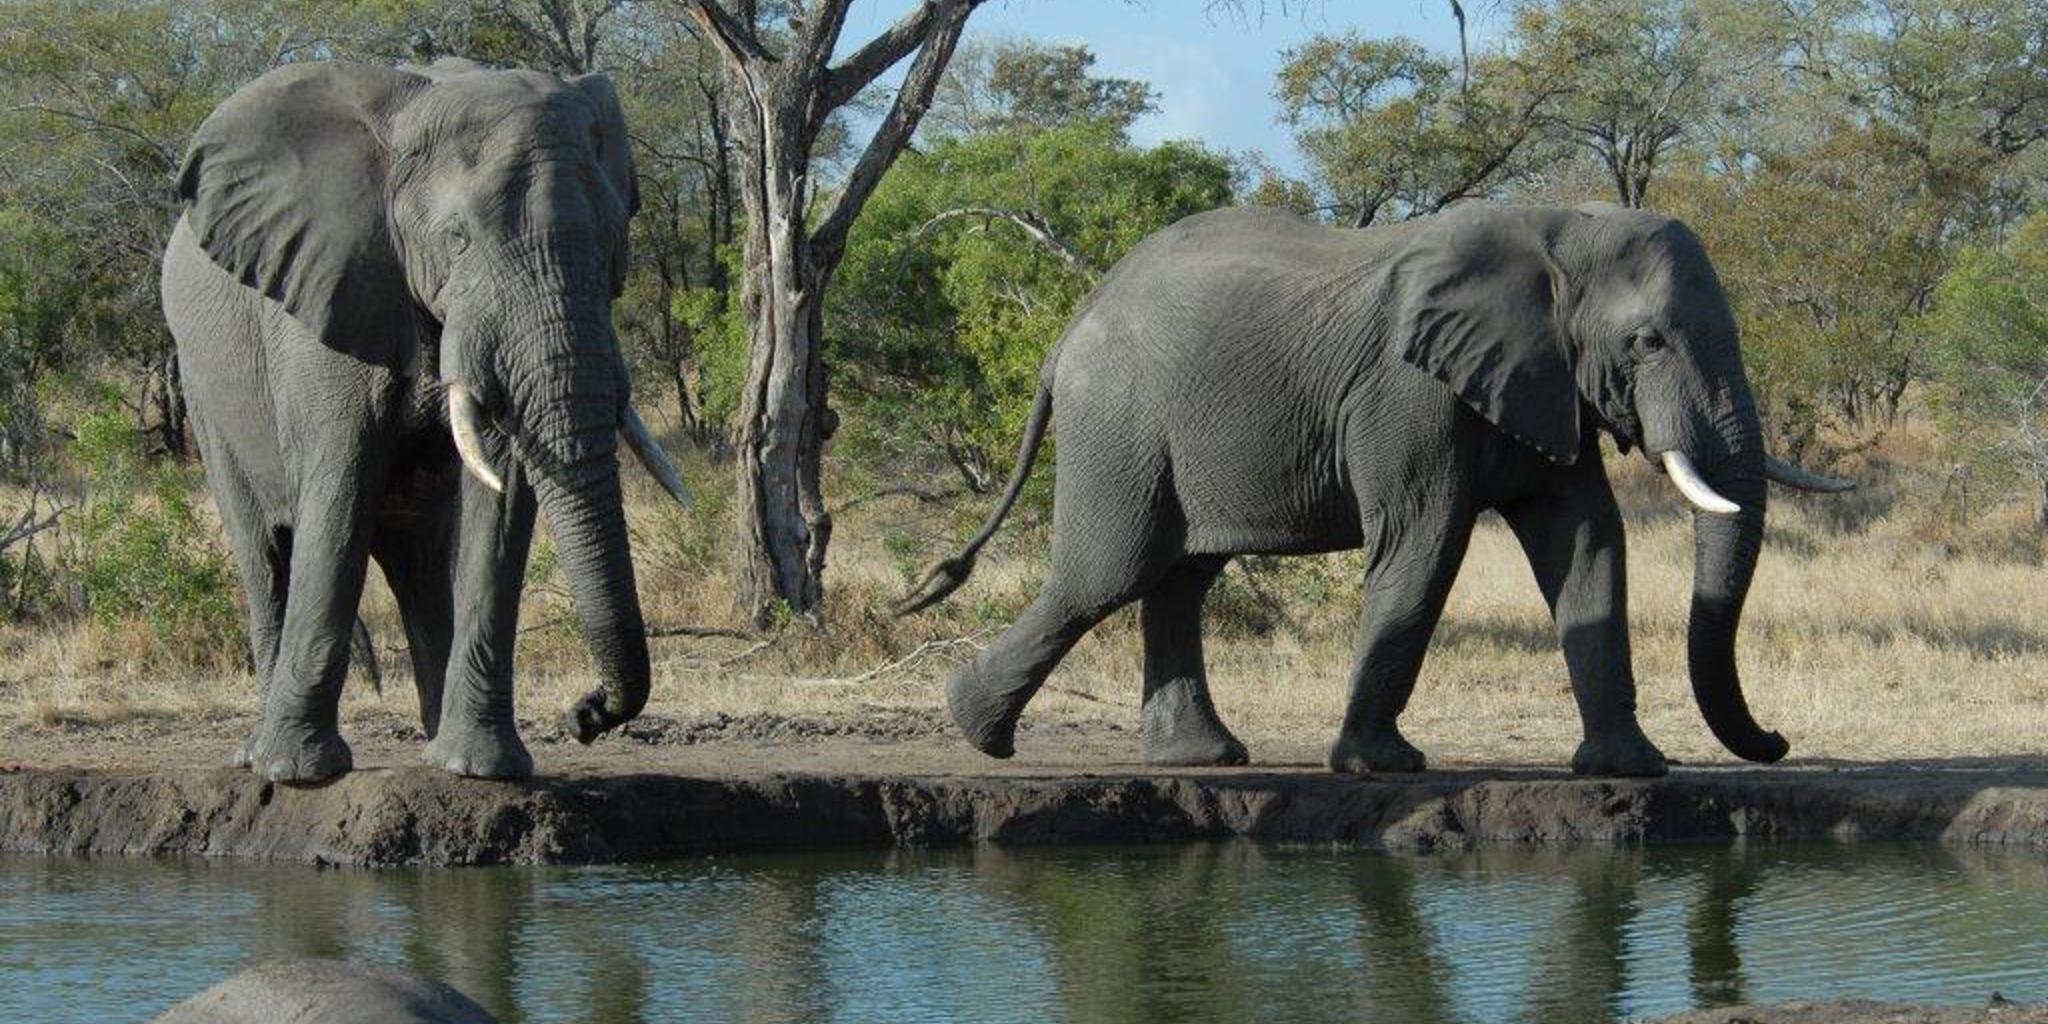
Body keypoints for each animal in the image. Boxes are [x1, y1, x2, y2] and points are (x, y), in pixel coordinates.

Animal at [160, 59, 689, 782]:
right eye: (456, 240)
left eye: (614, 244)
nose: (583, 717)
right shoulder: (325, 303)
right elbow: (339, 498)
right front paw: (299, 775)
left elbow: (500, 505)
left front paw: (483, 770)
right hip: (203, 387)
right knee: (265, 549)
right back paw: (256, 758)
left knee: (420, 566)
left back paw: (439, 748)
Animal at [899, 202, 1852, 777]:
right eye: (1647, 342)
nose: (1778, 740)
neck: (1558, 225)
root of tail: (1068, 330)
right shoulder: (1408, 393)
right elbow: (1425, 544)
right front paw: (1380, 767)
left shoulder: (1540, 382)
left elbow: (1586, 542)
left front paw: (1632, 768)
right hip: (1120, 419)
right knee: (1111, 573)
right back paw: (975, 729)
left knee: (1180, 579)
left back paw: (1202, 760)